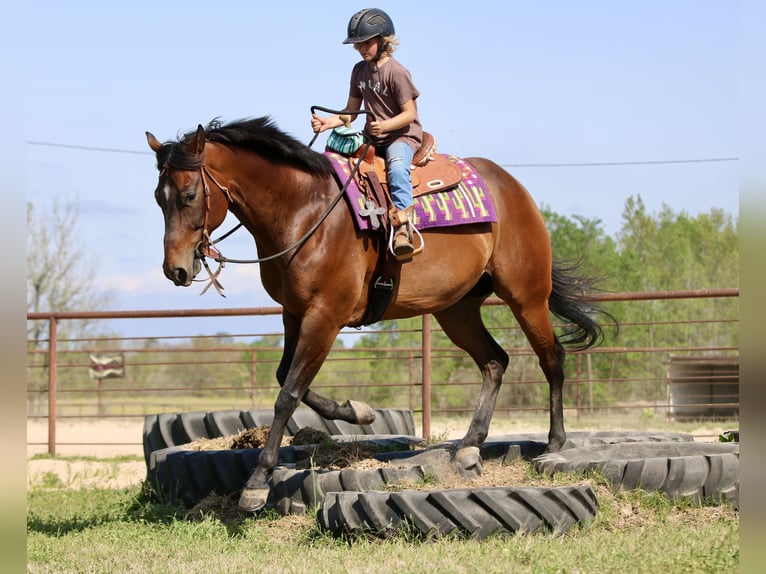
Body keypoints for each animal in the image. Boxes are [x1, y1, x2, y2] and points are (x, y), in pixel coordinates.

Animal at [146, 117, 611, 512]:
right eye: (158, 198)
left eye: (189, 196)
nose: (176, 270)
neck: (305, 212)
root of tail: (513, 187)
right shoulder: (294, 313)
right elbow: (287, 379)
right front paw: (359, 411)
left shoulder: (325, 315)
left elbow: (288, 394)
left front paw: (257, 483)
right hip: (457, 310)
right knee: (495, 362)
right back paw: (470, 445)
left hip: (526, 295)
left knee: (551, 358)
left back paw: (555, 442)